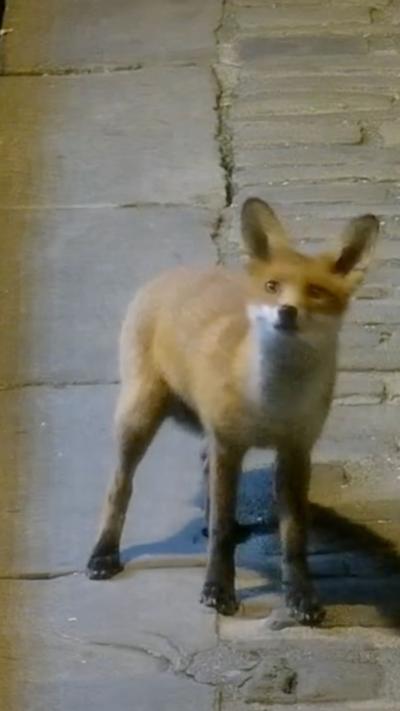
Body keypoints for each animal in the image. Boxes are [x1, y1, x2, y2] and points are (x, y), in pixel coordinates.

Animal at [86, 197, 379, 625]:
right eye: (272, 287)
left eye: (316, 291)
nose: (287, 312)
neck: (272, 401)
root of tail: (175, 272)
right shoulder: (230, 444)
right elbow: (222, 533)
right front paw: (217, 590)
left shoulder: (295, 451)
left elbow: (295, 539)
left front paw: (301, 597)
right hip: (139, 417)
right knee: (119, 487)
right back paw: (104, 553)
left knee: (204, 467)